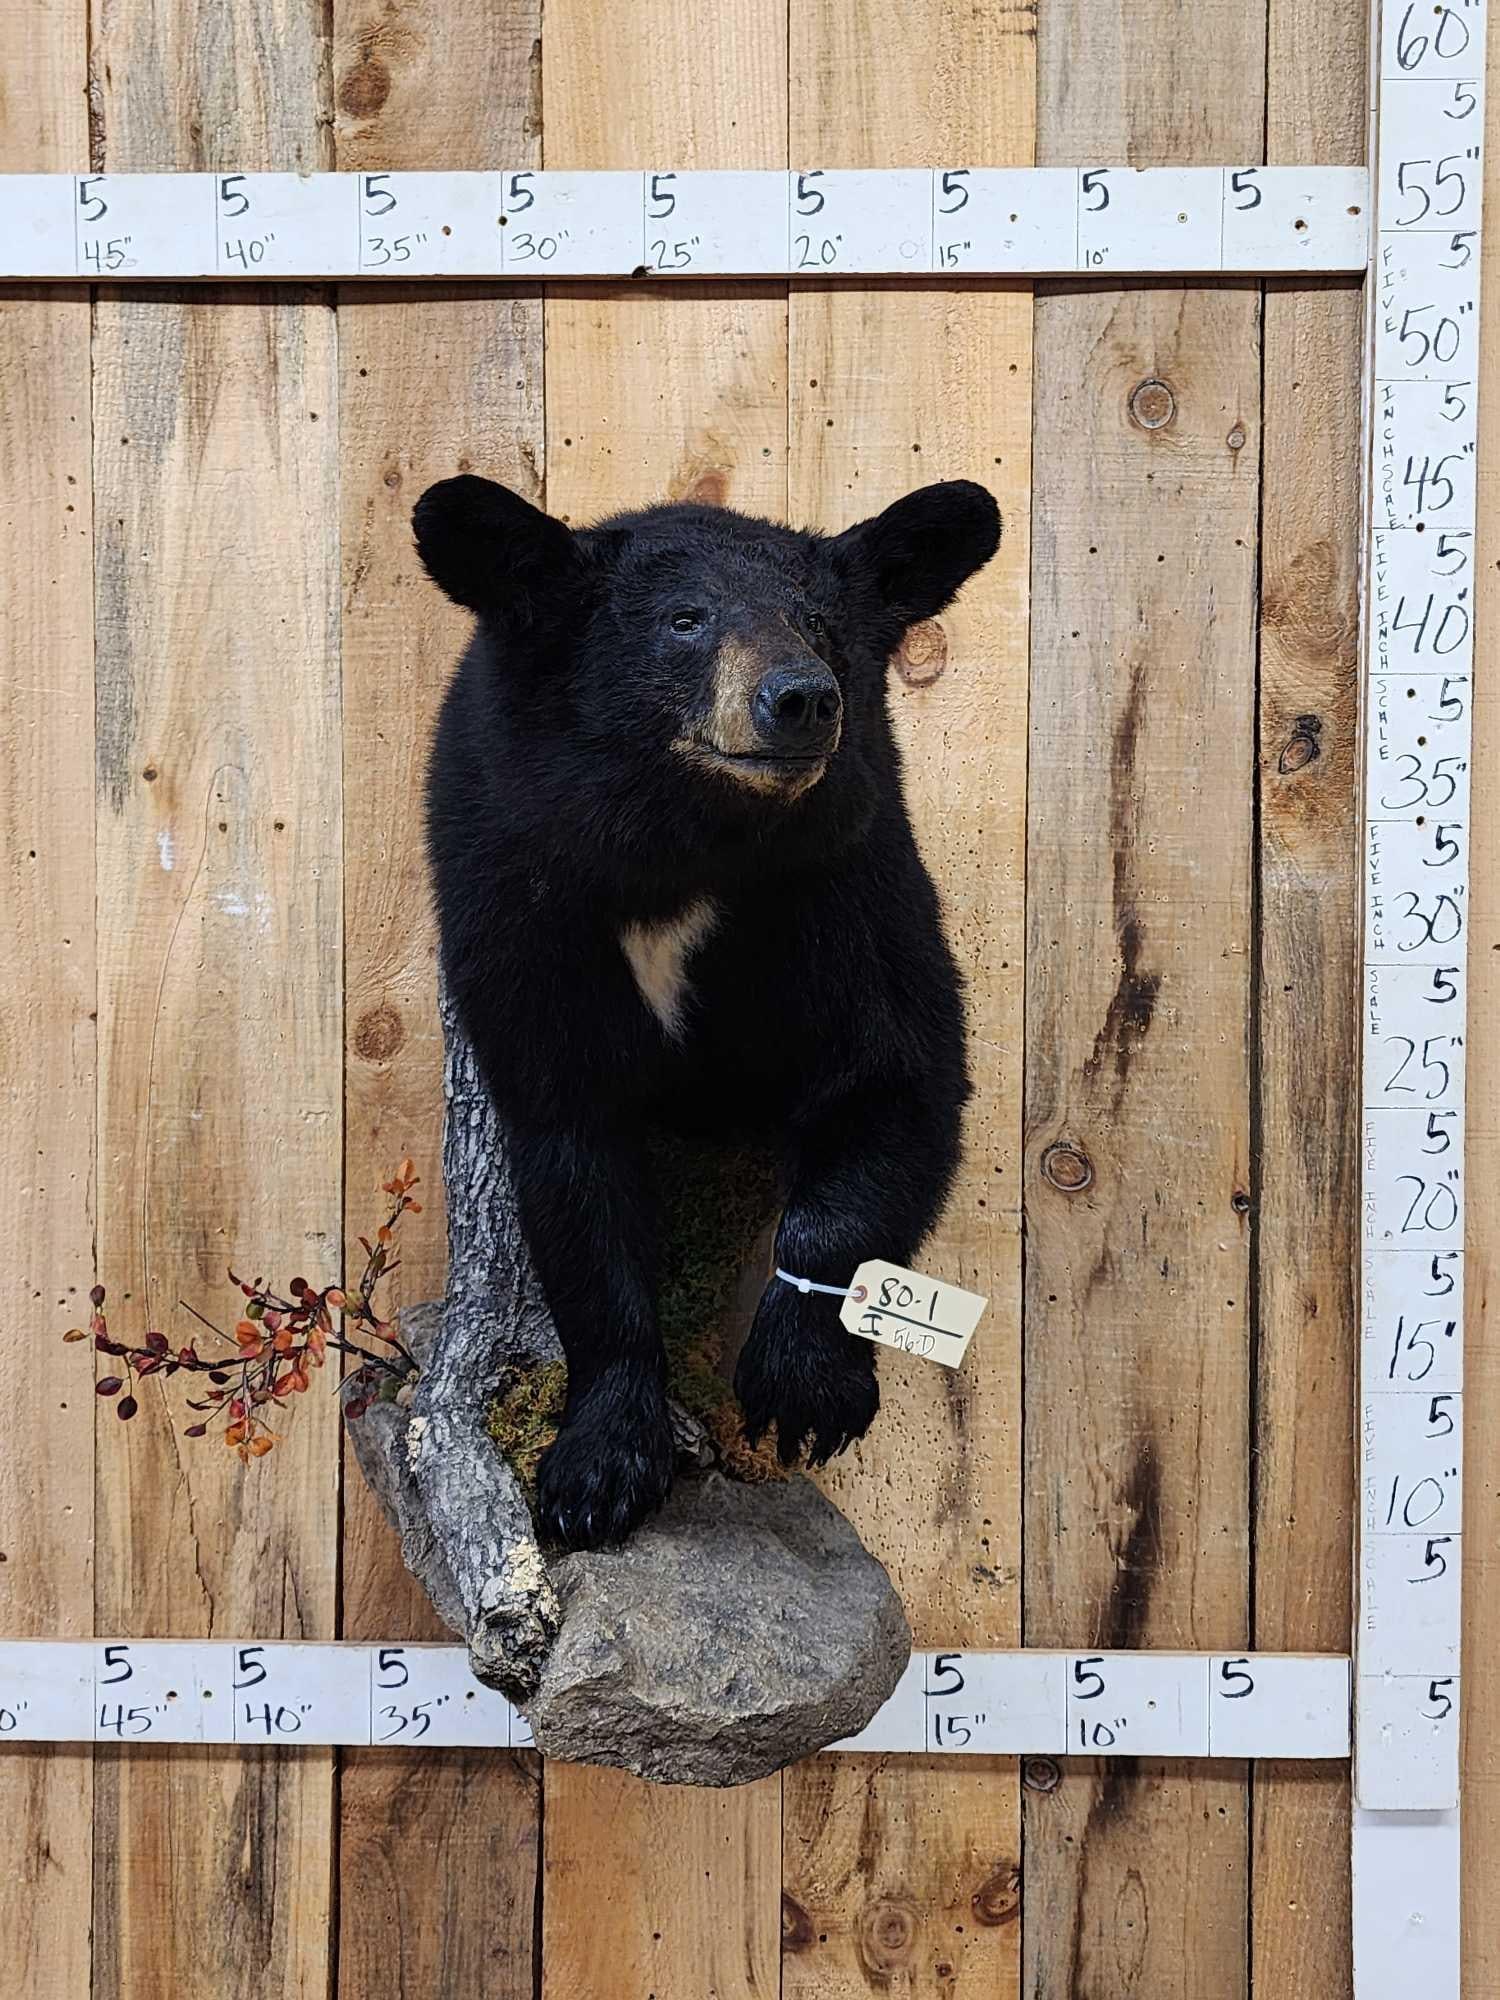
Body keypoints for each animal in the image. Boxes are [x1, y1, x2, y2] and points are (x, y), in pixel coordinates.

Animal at [414, 473, 1000, 1550]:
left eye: (819, 622)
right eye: (684, 621)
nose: (801, 699)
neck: (685, 845)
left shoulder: (846, 870)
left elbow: (893, 1067)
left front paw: (804, 1380)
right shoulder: (516, 882)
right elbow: (568, 1141)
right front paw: (599, 1462)